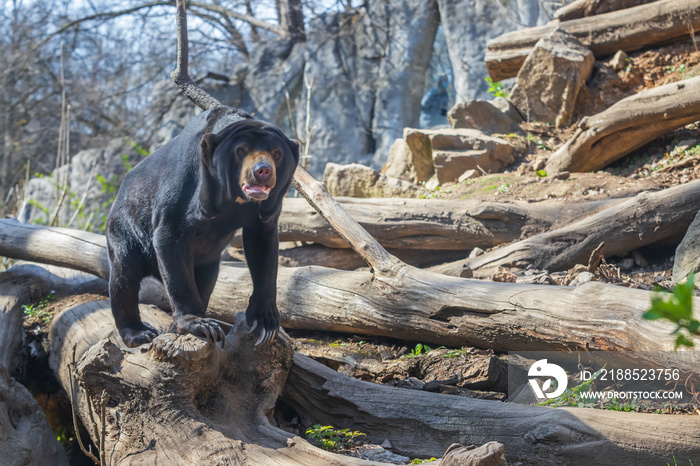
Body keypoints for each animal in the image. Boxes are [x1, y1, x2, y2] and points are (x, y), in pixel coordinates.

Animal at [106, 105, 298, 346]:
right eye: (241, 151)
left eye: (277, 154)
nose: (263, 171)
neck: (235, 198)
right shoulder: (186, 191)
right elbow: (169, 239)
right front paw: (199, 324)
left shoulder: (267, 211)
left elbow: (263, 249)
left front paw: (265, 324)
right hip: (124, 229)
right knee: (124, 276)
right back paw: (139, 333)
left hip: (207, 262)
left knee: (206, 282)